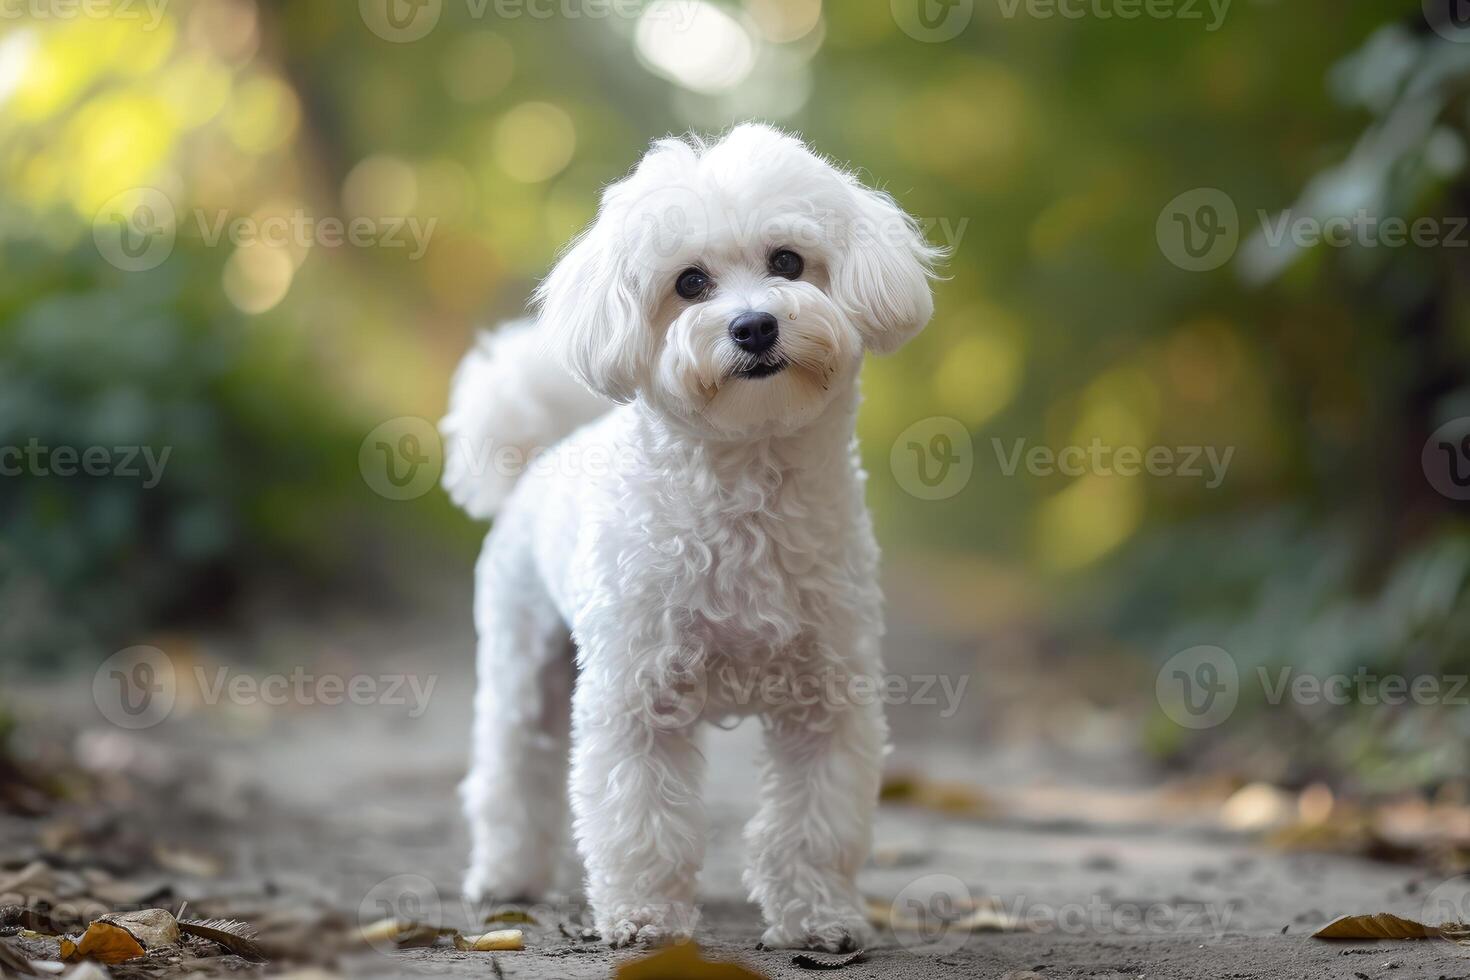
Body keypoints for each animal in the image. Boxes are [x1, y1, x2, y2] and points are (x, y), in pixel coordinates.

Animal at [438, 122, 940, 952]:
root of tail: (538, 457)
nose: (754, 325)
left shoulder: (828, 694)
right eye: (690, 283)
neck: (745, 485)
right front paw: (644, 917)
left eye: (788, 261)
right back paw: (507, 875)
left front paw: (819, 918)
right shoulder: (635, 694)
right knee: (511, 771)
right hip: (521, 664)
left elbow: (814, 821)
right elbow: (638, 819)